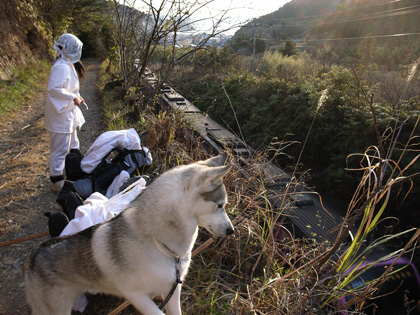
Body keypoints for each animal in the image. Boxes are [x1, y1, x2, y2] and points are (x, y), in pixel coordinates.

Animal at [24, 152, 235, 314]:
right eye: (220, 205)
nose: (231, 230)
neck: (157, 243)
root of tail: (35, 254)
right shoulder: (136, 295)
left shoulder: (173, 289)